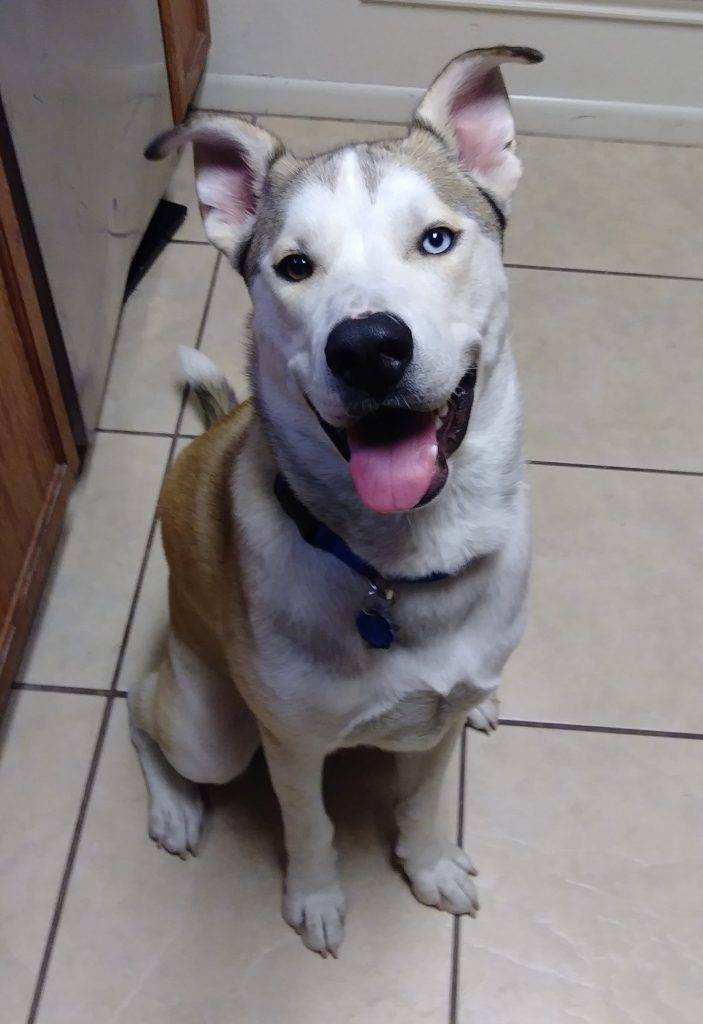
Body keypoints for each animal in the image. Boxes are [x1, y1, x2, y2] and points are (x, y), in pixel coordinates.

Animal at [130, 46, 540, 958]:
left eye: (435, 239)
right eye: (294, 266)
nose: (367, 346)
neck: (401, 564)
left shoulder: (437, 721)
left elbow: (422, 800)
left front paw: (428, 866)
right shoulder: (291, 743)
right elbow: (308, 824)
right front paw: (314, 900)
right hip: (212, 729)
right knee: (141, 711)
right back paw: (173, 808)